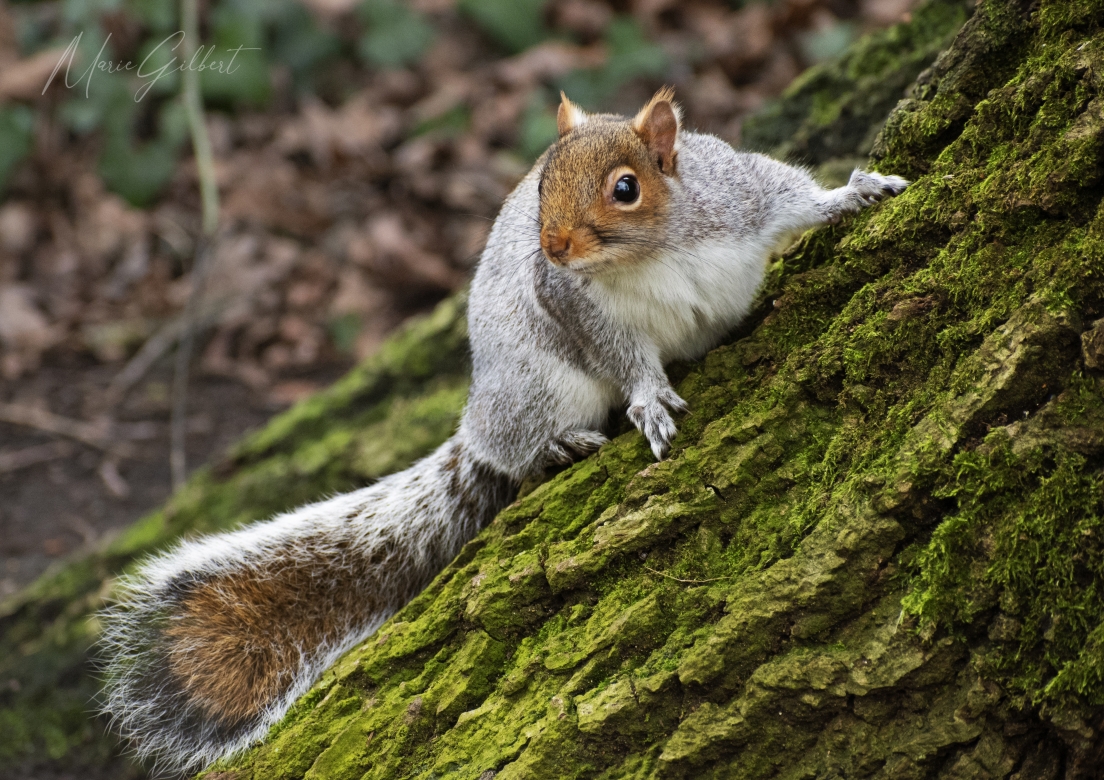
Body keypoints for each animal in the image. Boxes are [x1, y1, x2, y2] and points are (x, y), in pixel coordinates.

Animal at [99, 87, 905, 776]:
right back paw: (558, 445)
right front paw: (648, 400)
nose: (550, 247)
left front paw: (855, 192)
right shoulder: (581, 310)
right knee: (511, 453)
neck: (654, 247)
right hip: (535, 386)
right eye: (540, 185)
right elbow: (627, 360)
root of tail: (476, 419)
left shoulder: (740, 196)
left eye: (626, 188)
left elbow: (792, 193)